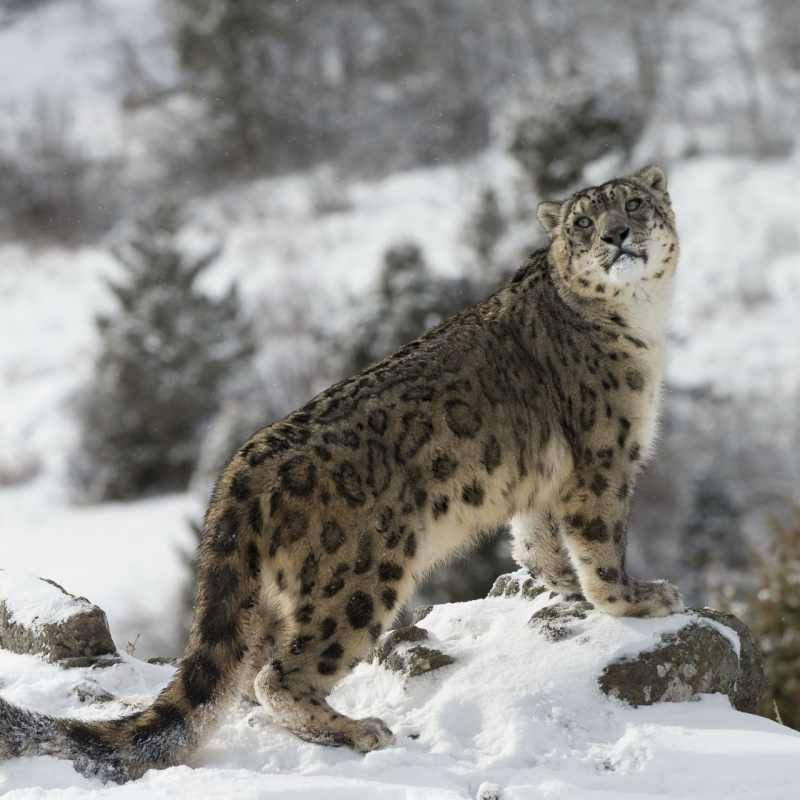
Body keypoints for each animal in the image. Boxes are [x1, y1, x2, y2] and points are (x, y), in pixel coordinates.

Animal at [0, 165, 683, 782]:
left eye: (633, 204)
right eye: (584, 222)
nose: (617, 235)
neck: (643, 323)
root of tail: (241, 469)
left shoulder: (546, 481)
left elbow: (538, 539)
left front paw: (558, 586)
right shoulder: (603, 461)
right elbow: (601, 544)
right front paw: (636, 598)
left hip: (277, 597)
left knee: (246, 673)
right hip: (358, 576)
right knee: (280, 673)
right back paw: (358, 729)